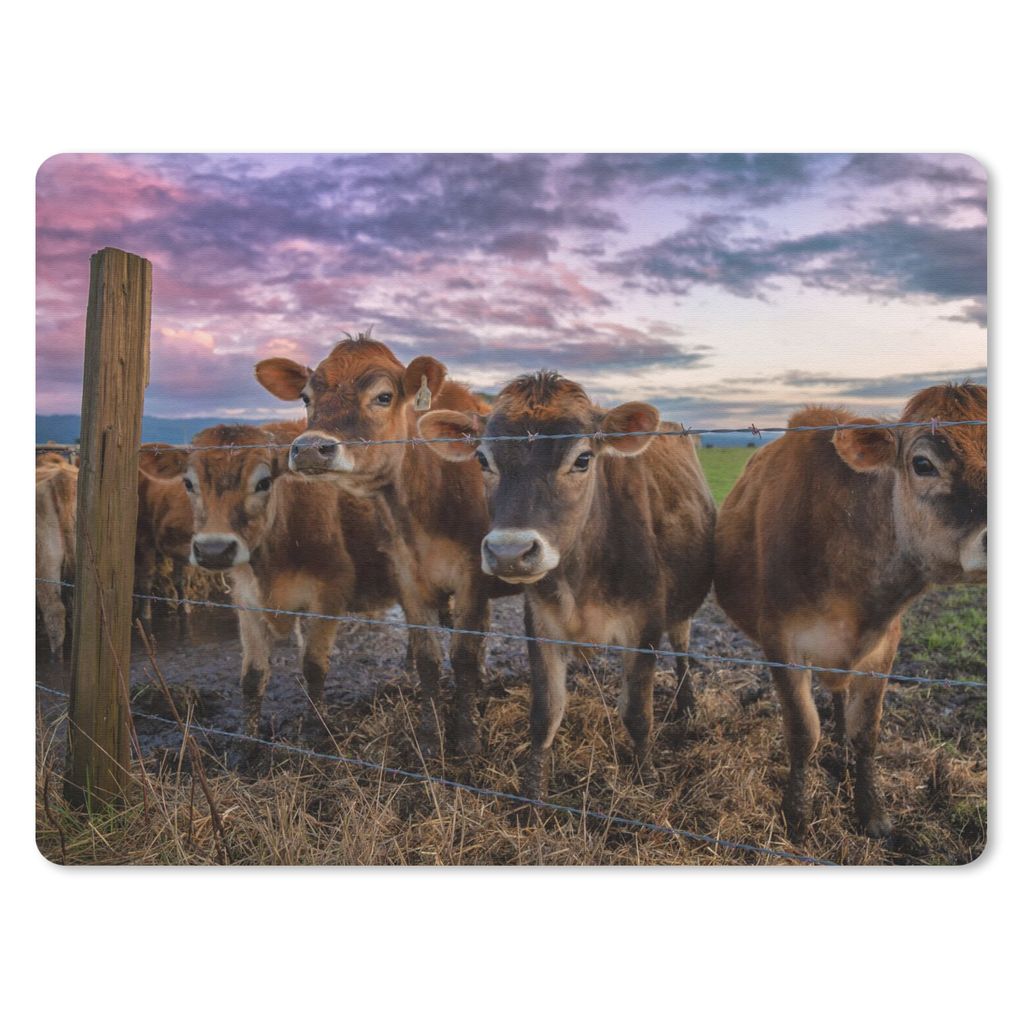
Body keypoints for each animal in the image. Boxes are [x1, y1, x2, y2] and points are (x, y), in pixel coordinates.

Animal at [254, 336, 507, 757]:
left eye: (383, 397)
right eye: (305, 397)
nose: (310, 449)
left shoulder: (473, 574)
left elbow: (463, 656)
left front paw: (468, 738)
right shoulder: (406, 576)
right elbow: (428, 659)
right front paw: (428, 736)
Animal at [417, 370, 717, 800]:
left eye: (583, 459)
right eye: (482, 459)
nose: (510, 552)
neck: (582, 575)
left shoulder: (644, 625)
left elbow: (637, 714)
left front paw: (646, 779)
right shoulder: (541, 624)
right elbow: (546, 713)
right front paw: (531, 793)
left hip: (680, 610)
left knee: (682, 649)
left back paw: (688, 704)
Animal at [714, 383, 987, 841]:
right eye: (923, 464)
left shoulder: (884, 644)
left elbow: (866, 731)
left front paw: (872, 811)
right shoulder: (781, 640)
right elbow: (803, 731)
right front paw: (796, 816)